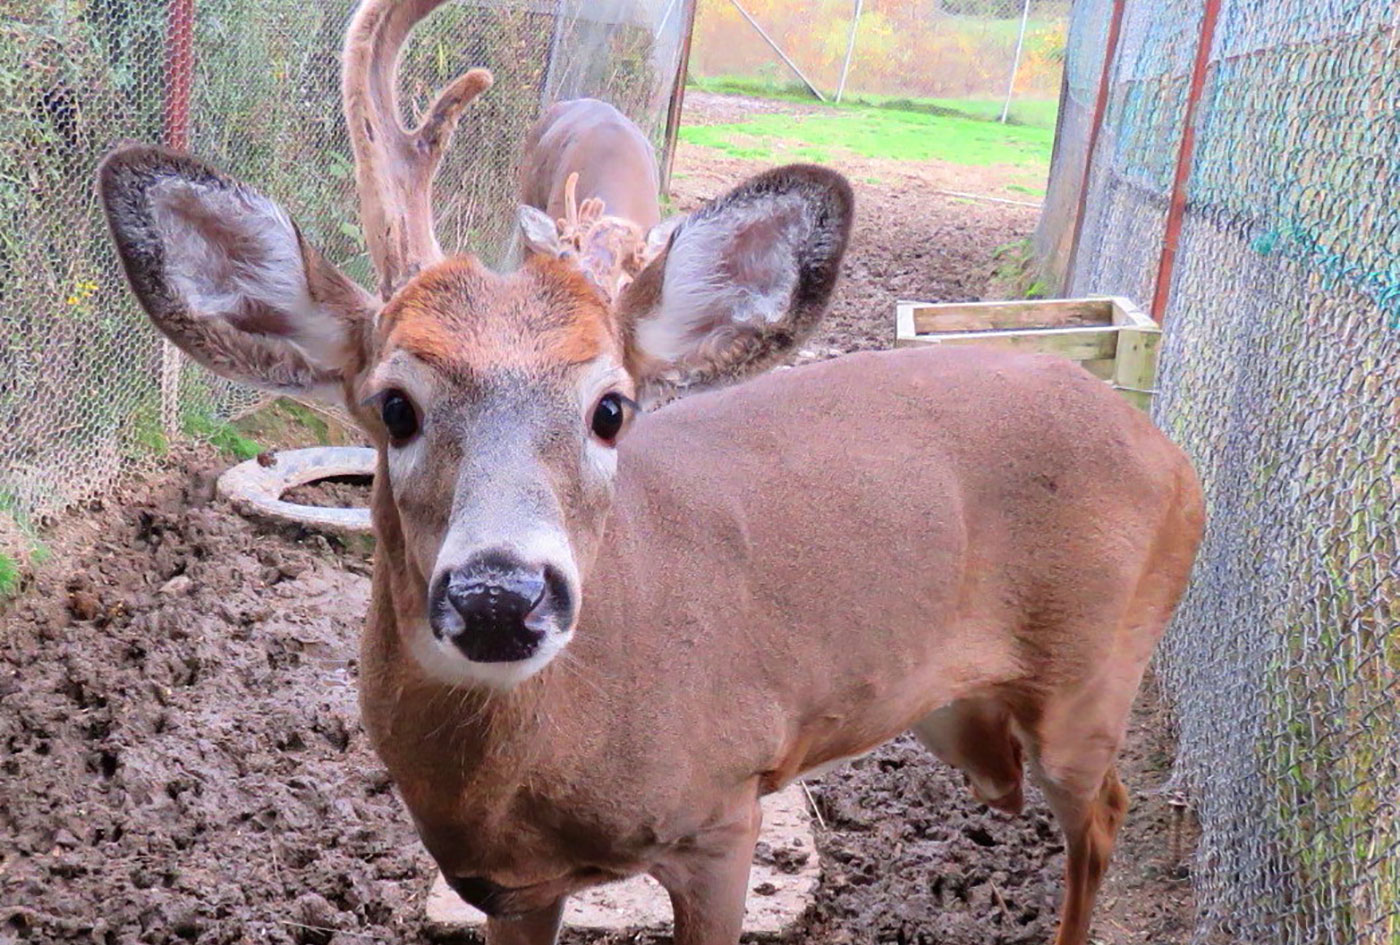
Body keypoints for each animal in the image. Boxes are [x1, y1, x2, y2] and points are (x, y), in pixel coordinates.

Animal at [95, 1, 1204, 945]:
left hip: (1096, 667)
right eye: (394, 405)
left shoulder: (721, 812)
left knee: (1104, 808)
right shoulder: (510, 886)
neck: (529, 773)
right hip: (948, 707)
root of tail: (1171, 456)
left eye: (611, 408)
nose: (500, 596)